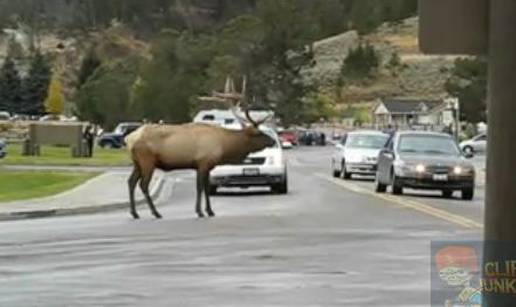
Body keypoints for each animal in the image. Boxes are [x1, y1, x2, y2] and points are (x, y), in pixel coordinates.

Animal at [124, 107, 274, 220]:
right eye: (259, 133)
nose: (272, 141)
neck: (224, 145)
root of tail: (129, 139)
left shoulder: (205, 166)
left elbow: (206, 188)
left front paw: (210, 211)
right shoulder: (203, 162)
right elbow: (200, 187)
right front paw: (200, 211)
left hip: (137, 163)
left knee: (131, 181)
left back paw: (135, 213)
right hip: (147, 161)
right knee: (143, 184)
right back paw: (156, 213)